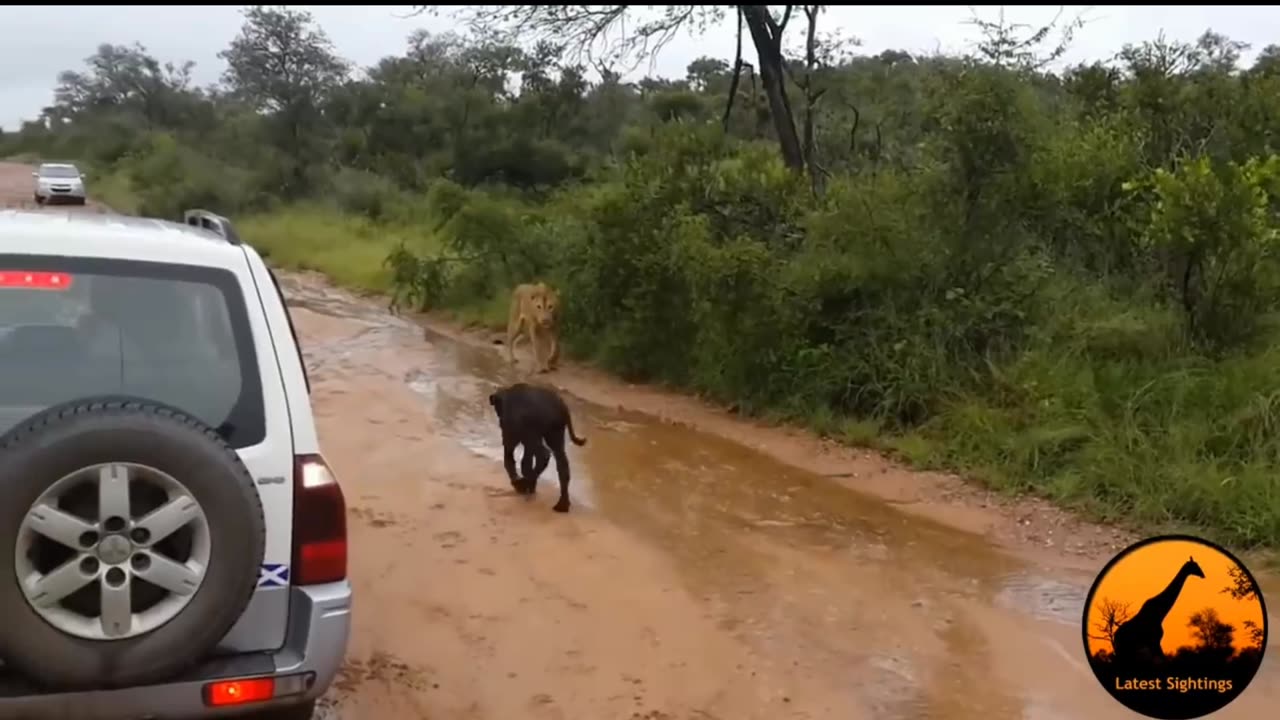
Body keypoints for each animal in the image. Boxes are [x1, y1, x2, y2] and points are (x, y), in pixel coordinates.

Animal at [486, 381, 586, 509]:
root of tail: (562, 407)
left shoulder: (512, 431)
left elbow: (510, 455)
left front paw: (519, 483)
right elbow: (526, 460)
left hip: (535, 433)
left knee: (543, 454)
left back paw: (526, 483)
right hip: (555, 433)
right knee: (561, 461)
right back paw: (561, 504)